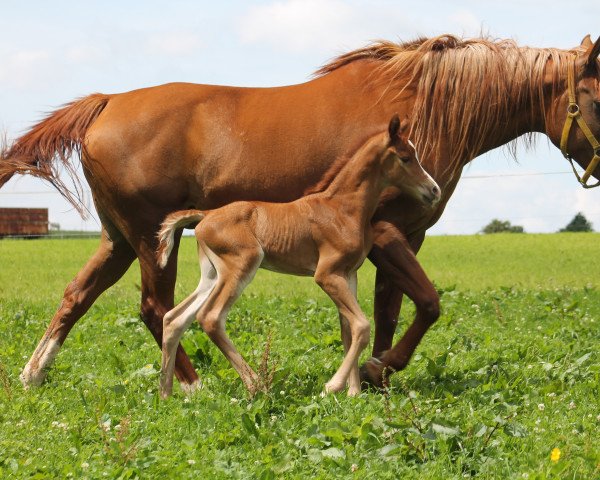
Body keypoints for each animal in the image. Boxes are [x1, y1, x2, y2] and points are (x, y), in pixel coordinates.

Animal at [158, 116, 440, 398]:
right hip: (241, 265)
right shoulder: (326, 274)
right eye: (405, 157)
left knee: (174, 318)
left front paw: (353, 394)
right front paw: (332, 386)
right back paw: (256, 384)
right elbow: (361, 326)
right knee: (211, 317)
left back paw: (166, 393)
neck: (343, 209)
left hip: (212, 275)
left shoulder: (348, 274)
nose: (434, 190)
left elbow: (348, 330)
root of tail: (205, 215)